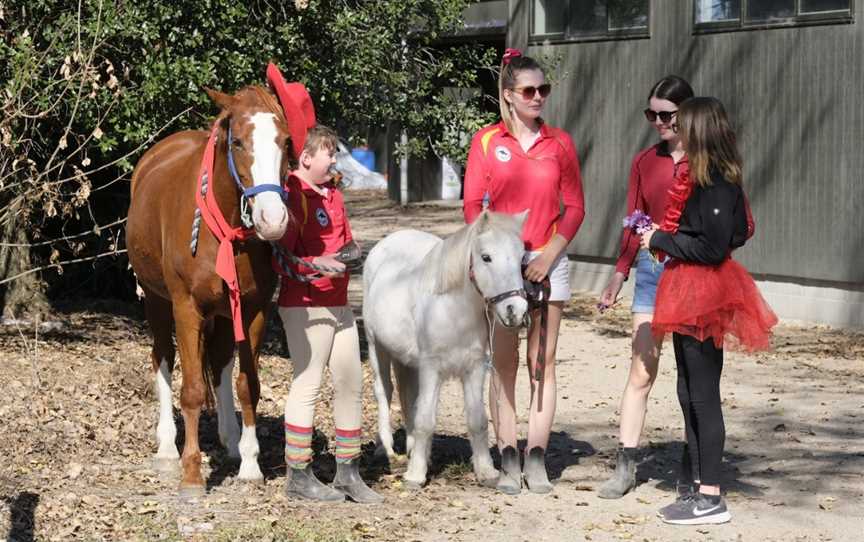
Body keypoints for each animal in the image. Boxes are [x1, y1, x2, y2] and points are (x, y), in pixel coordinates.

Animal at [127, 85, 296, 498]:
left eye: (285, 142)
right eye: (237, 142)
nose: (273, 219)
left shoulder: (253, 310)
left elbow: (247, 385)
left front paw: (250, 464)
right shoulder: (186, 308)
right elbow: (190, 389)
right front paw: (191, 472)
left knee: (219, 365)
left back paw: (231, 441)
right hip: (157, 303)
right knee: (163, 359)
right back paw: (167, 447)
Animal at [362, 210, 528, 490]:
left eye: (521, 258)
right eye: (486, 257)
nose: (515, 310)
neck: (453, 311)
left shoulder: (474, 368)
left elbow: (477, 420)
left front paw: (486, 471)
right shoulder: (432, 368)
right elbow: (426, 420)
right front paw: (415, 475)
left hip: (407, 361)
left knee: (408, 395)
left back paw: (412, 449)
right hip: (377, 347)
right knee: (384, 392)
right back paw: (384, 449)